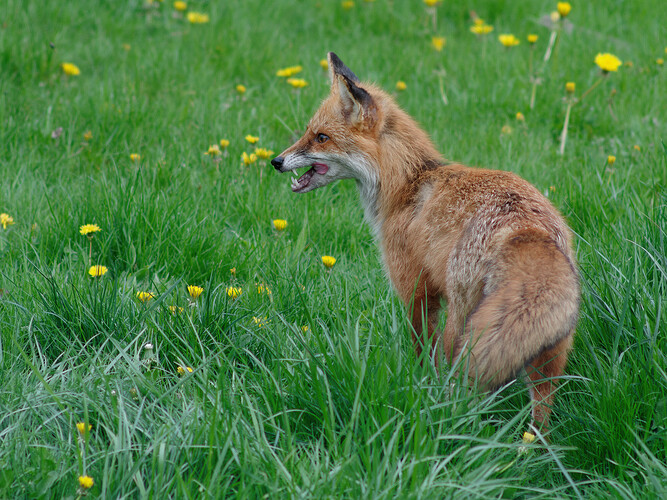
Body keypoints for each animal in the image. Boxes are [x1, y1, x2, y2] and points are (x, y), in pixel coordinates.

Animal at [272, 51, 580, 430]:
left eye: (321, 137)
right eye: (308, 132)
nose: (275, 161)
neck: (407, 185)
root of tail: (528, 229)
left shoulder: (415, 290)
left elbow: (423, 356)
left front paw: (418, 388)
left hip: (462, 326)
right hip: (550, 349)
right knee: (542, 412)